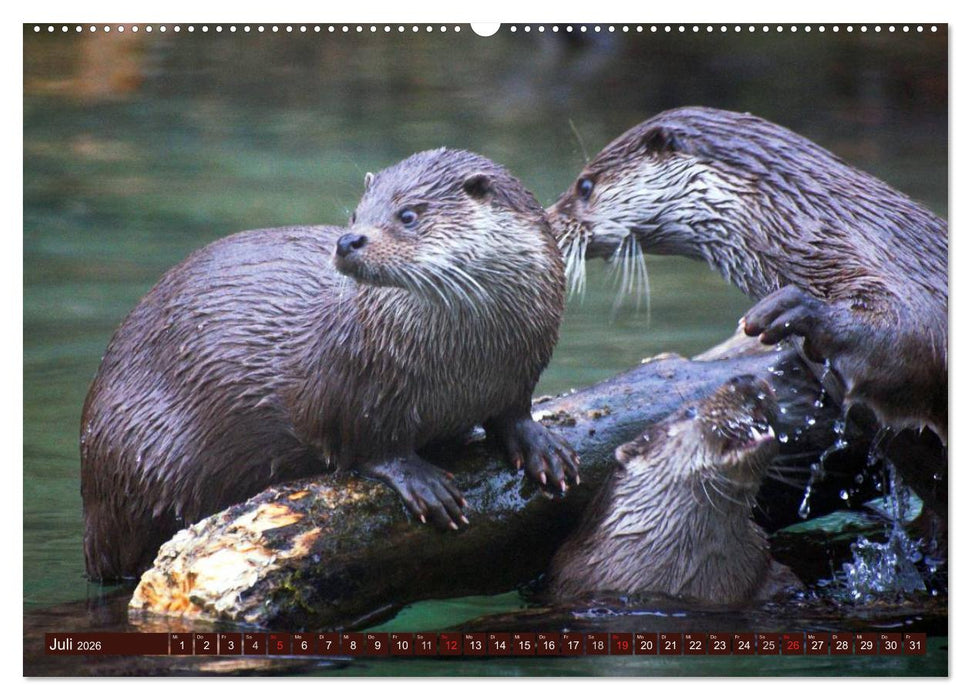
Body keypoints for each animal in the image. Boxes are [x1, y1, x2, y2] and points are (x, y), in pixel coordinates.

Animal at [81, 148, 579, 581]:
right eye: (356, 215)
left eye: (408, 215)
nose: (348, 241)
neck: (467, 365)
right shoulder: (355, 384)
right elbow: (365, 445)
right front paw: (420, 480)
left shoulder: (521, 368)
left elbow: (513, 411)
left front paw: (541, 445)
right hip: (140, 461)